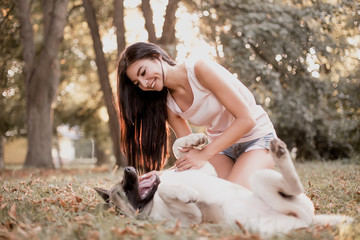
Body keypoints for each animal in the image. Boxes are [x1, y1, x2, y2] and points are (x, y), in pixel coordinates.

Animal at [94, 134, 352, 237]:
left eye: (123, 183)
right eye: (124, 191)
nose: (128, 169)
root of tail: (307, 220)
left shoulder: (204, 168)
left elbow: (179, 148)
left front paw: (194, 140)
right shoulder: (192, 217)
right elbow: (174, 194)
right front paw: (186, 193)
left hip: (260, 179)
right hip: (262, 200)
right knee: (294, 187)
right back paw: (280, 154)